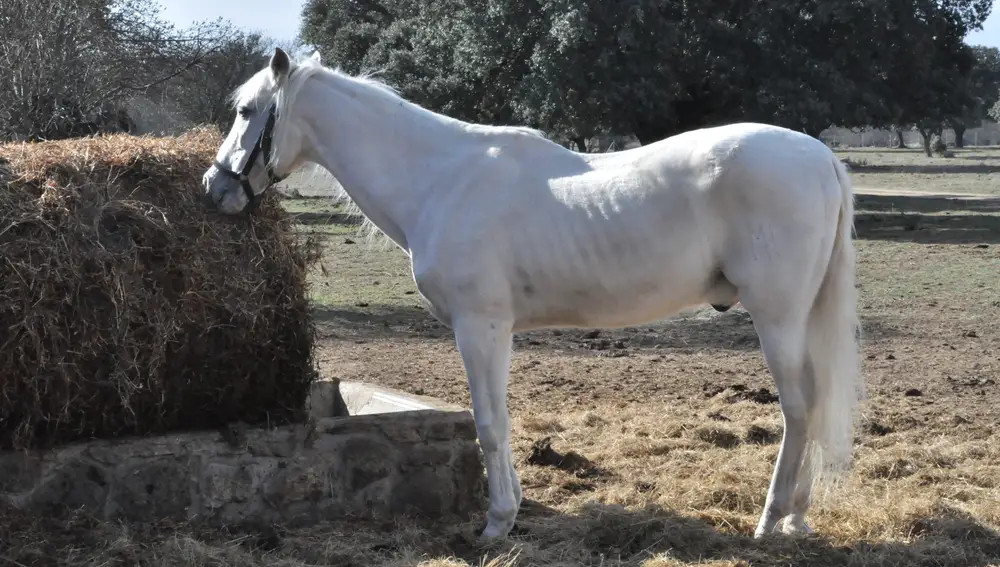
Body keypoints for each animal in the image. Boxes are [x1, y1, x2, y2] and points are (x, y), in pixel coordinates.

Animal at [205, 48, 868, 540]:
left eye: (246, 111)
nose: (215, 188)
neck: (442, 178)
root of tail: (819, 156)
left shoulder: (479, 326)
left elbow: (488, 422)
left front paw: (497, 523)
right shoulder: (495, 331)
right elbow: (499, 414)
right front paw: (514, 503)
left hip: (777, 316)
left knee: (799, 409)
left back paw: (772, 519)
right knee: (813, 405)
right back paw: (797, 518)